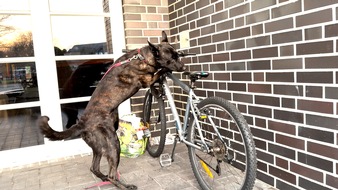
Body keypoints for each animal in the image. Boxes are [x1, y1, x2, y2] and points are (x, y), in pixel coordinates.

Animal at [38, 31, 186, 190]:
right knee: (112, 174)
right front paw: (164, 71)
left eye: (177, 55)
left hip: (99, 147)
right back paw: (124, 185)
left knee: (94, 168)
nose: (183, 67)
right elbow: (160, 71)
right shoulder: (147, 80)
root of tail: (82, 124)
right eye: (171, 59)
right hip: (113, 144)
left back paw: (104, 178)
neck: (143, 58)